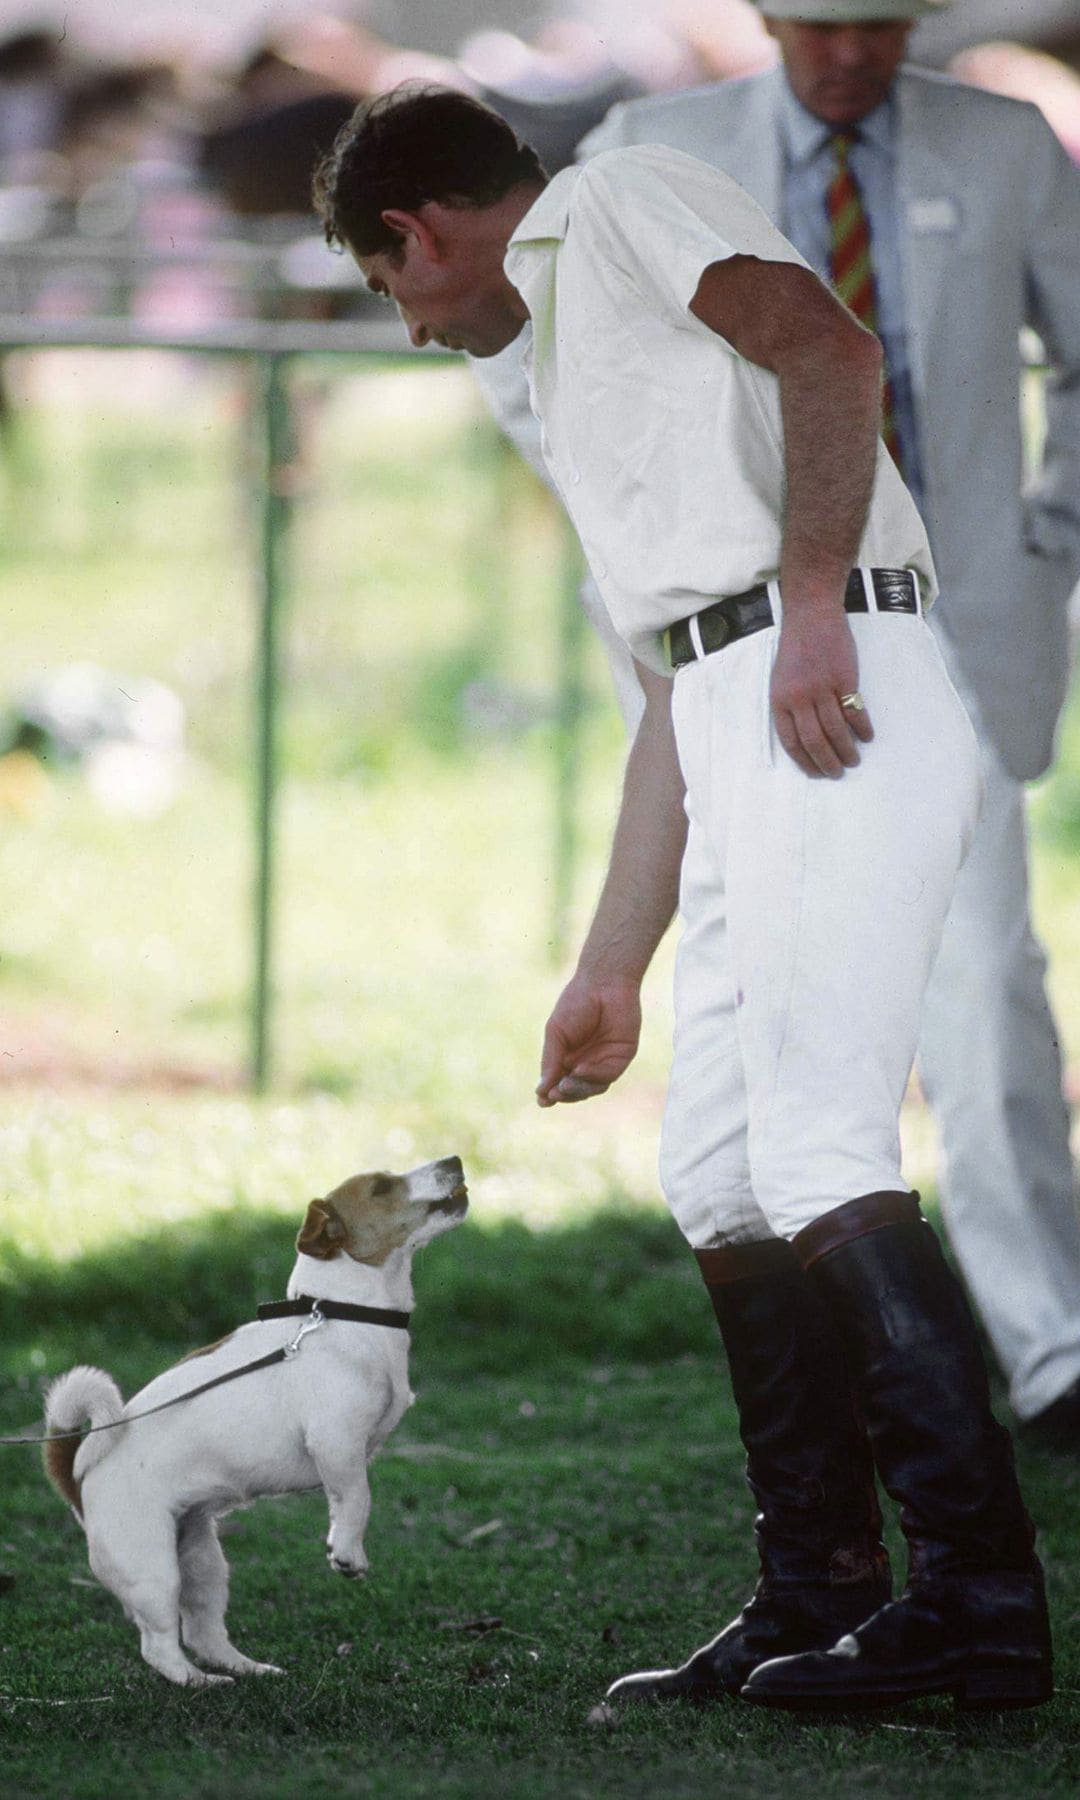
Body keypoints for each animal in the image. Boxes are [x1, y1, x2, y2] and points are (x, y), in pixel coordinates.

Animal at [44, 1152, 464, 1684]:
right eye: (381, 1187)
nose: (454, 1159)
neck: (344, 1315)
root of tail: (78, 1478)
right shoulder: (336, 1444)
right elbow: (356, 1499)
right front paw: (347, 1554)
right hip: (153, 1571)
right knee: (159, 1646)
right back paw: (198, 1682)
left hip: (202, 1562)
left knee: (204, 1633)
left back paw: (248, 1668)